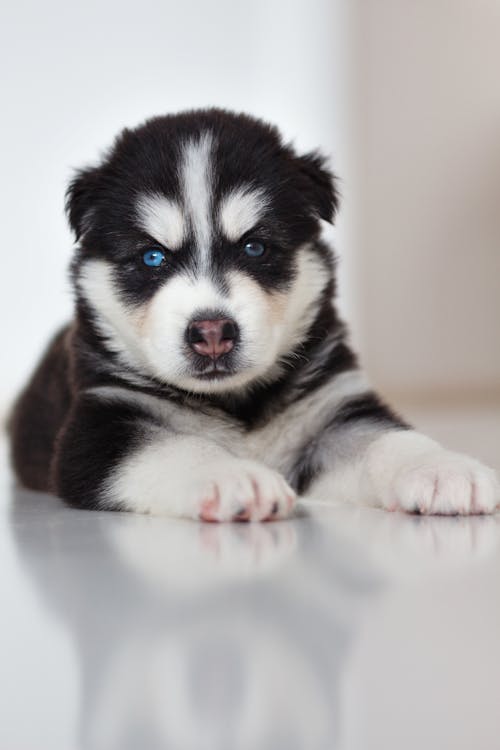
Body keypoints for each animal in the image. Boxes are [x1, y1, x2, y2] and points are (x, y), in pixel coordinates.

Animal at [8, 108, 500, 524]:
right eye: (152, 257)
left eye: (255, 247)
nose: (212, 332)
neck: (238, 404)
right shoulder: (100, 429)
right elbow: (177, 448)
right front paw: (233, 477)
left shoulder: (333, 410)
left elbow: (385, 438)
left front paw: (443, 468)